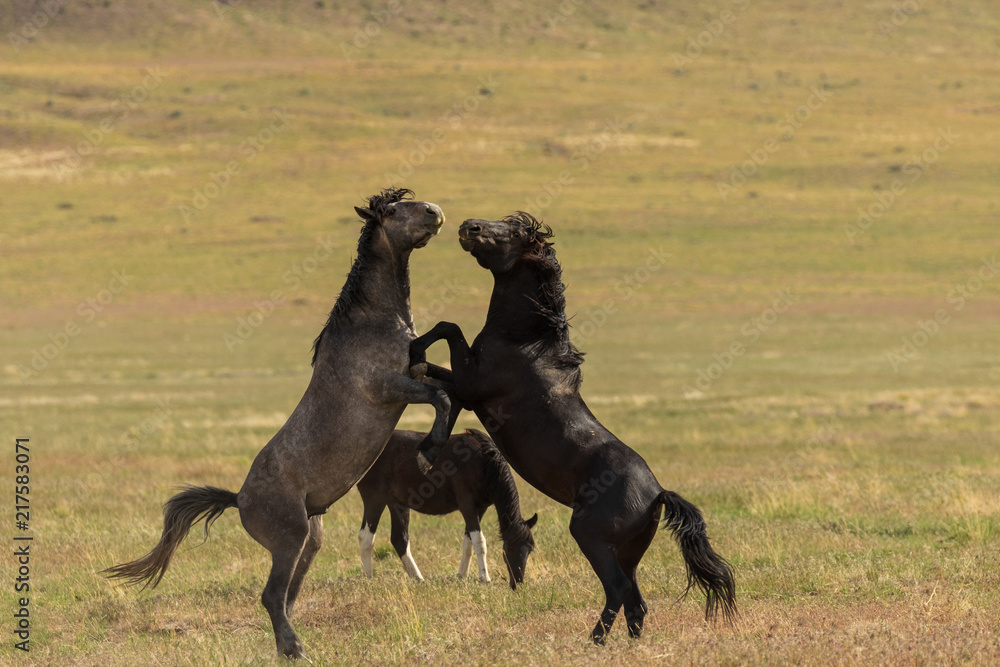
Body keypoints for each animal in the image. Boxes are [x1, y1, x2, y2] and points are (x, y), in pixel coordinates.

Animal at [105, 188, 453, 659]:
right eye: (395, 210)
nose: (436, 212)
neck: (372, 322)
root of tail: (238, 499)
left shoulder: (414, 374)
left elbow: (443, 378)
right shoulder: (387, 387)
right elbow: (441, 397)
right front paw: (429, 452)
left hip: (309, 539)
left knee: (286, 597)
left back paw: (289, 648)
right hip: (291, 537)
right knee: (272, 596)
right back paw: (297, 650)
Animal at [356, 428, 537, 587]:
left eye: (529, 549)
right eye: (509, 548)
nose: (517, 582)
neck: (482, 463)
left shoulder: (480, 509)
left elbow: (468, 543)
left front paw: (462, 575)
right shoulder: (467, 506)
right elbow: (479, 542)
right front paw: (484, 578)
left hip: (398, 504)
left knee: (399, 539)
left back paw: (417, 577)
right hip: (375, 500)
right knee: (366, 537)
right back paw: (368, 578)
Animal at [409, 212, 737, 644]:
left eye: (514, 231)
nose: (470, 226)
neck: (526, 341)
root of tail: (657, 495)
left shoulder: (471, 383)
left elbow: (448, 332)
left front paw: (414, 354)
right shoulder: (466, 386)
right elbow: (440, 379)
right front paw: (427, 445)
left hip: (590, 537)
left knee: (617, 589)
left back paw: (594, 641)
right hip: (627, 551)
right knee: (636, 601)